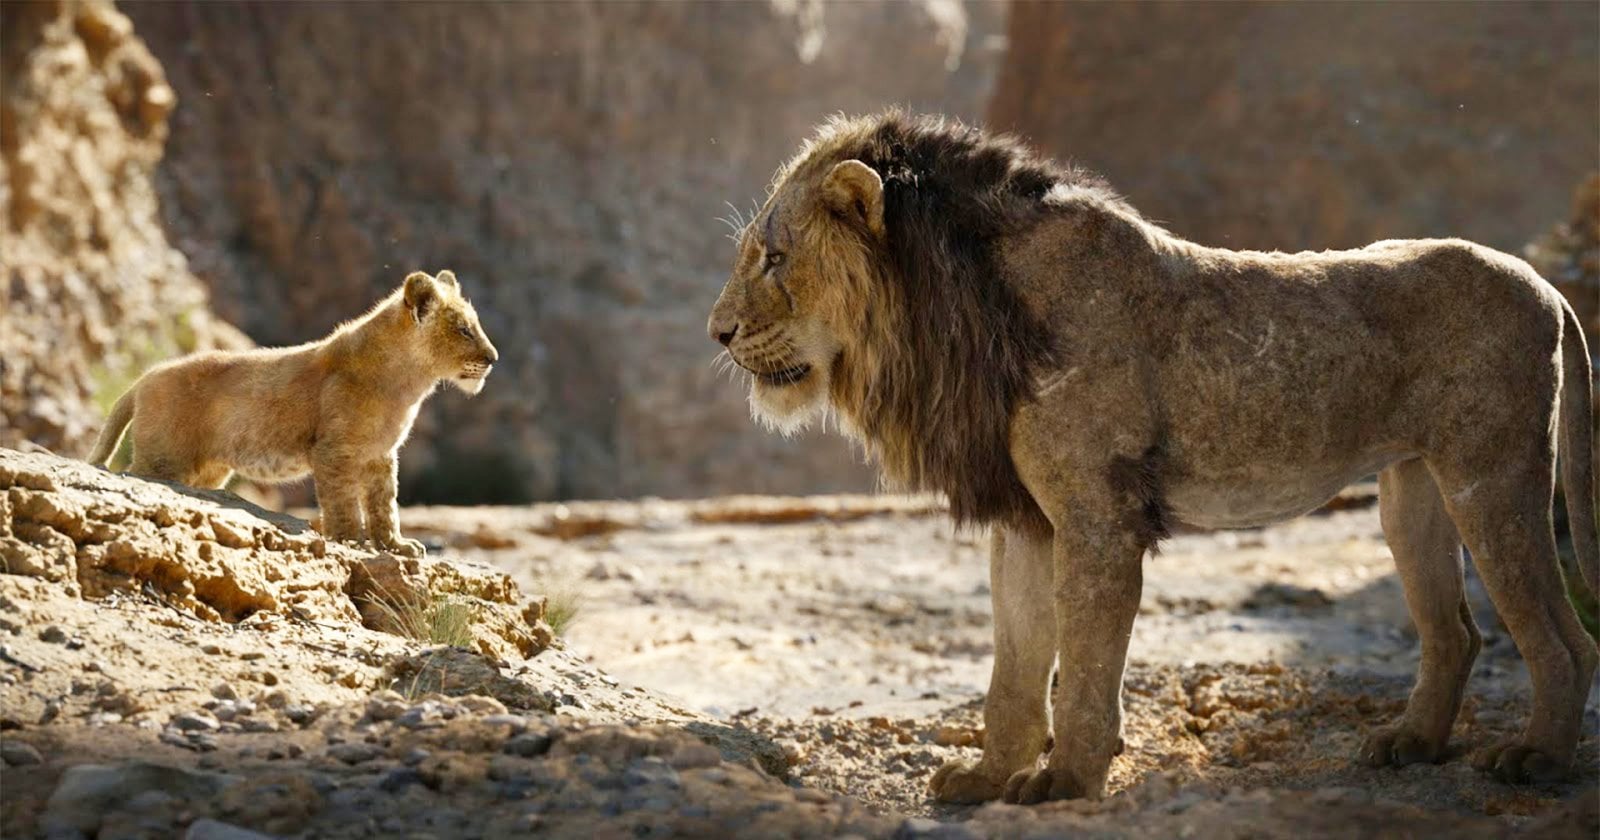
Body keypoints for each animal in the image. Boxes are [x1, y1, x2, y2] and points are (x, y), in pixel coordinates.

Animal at [88, 270, 498, 557]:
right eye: (464, 329)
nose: (493, 359)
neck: (408, 382)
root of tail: (143, 378)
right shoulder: (333, 450)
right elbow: (343, 503)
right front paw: (351, 541)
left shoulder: (381, 454)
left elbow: (385, 504)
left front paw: (396, 546)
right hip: (163, 461)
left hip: (206, 471)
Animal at [707, 112, 1598, 804]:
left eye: (774, 258)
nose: (716, 332)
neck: (956, 311)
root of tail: (1545, 284)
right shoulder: (1027, 519)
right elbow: (1014, 666)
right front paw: (988, 778)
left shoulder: (1097, 516)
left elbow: (1085, 662)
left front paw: (1066, 782)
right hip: (1411, 491)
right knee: (1458, 632)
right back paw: (1410, 744)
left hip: (1492, 476)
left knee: (1562, 638)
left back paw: (1538, 759)